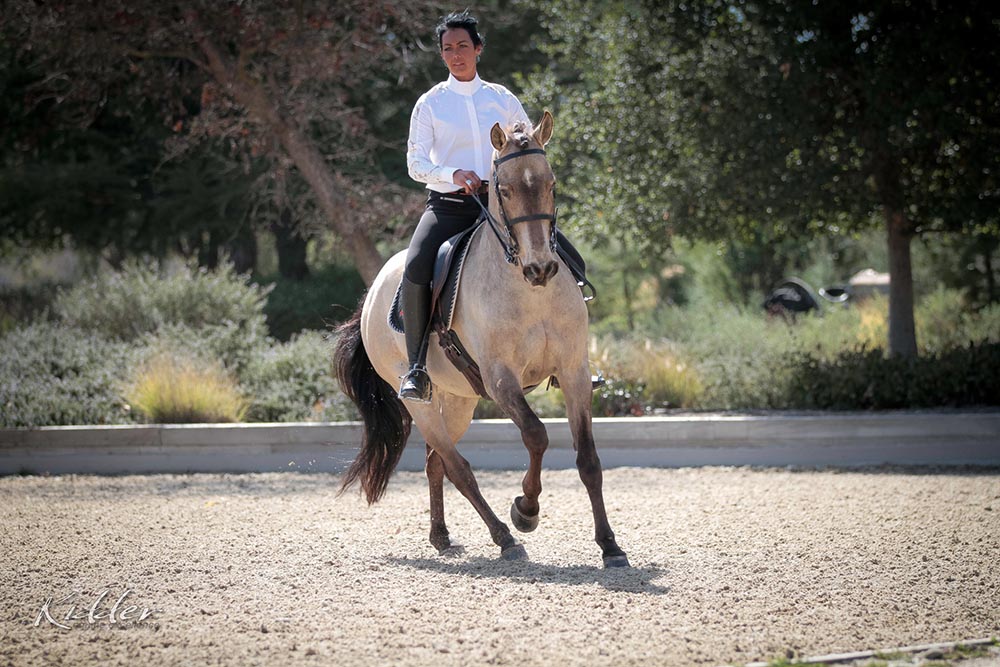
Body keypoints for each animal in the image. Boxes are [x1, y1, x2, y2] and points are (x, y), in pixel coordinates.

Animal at [338, 111, 632, 568]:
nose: (540, 269)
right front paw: (526, 511)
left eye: (550, 184)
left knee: (436, 463)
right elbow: (536, 435)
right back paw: (504, 537)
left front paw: (609, 546)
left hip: (459, 400)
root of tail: (370, 297)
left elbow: (588, 460)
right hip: (420, 401)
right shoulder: (500, 379)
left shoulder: (575, 373)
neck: (530, 293)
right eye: (504, 190)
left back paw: (441, 536)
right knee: (457, 466)